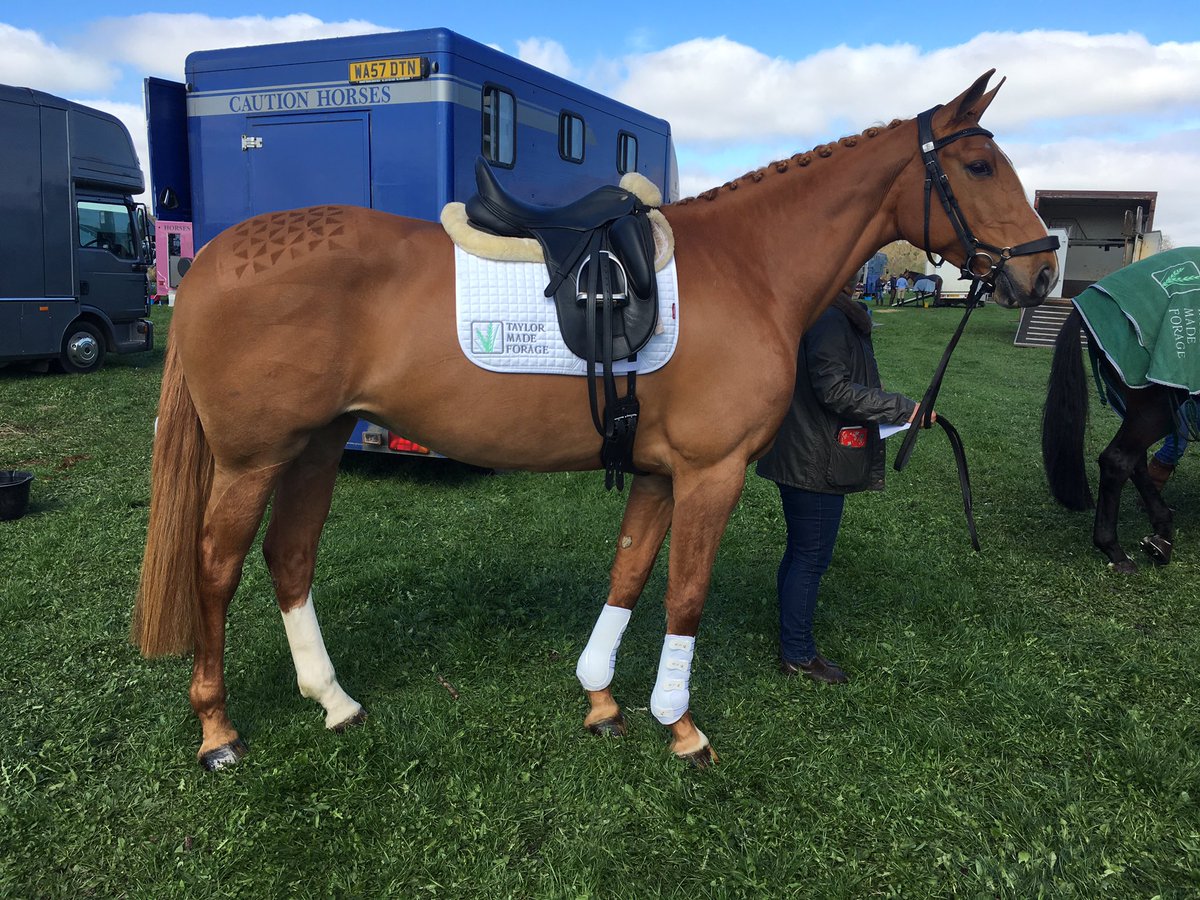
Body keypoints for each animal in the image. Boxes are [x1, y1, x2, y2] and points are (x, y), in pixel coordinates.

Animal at [133, 71, 1058, 770]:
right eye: (980, 165)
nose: (1042, 274)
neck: (748, 268)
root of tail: (214, 257)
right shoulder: (711, 473)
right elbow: (685, 594)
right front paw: (681, 725)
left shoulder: (655, 471)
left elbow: (629, 575)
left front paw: (602, 698)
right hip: (252, 459)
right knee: (216, 567)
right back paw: (217, 729)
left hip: (316, 447)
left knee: (290, 557)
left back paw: (333, 700)